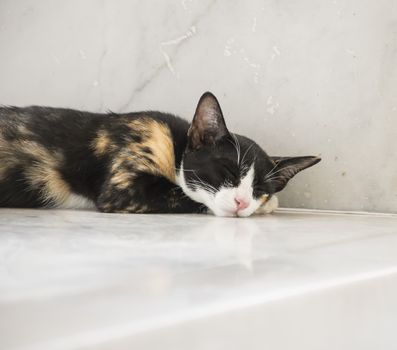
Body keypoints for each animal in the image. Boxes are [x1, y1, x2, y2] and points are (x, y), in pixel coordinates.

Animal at [0, 91, 318, 216]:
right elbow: (182, 194)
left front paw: (263, 204)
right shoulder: (123, 184)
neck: (176, 147)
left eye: (259, 188)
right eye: (228, 170)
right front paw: (268, 206)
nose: (243, 202)